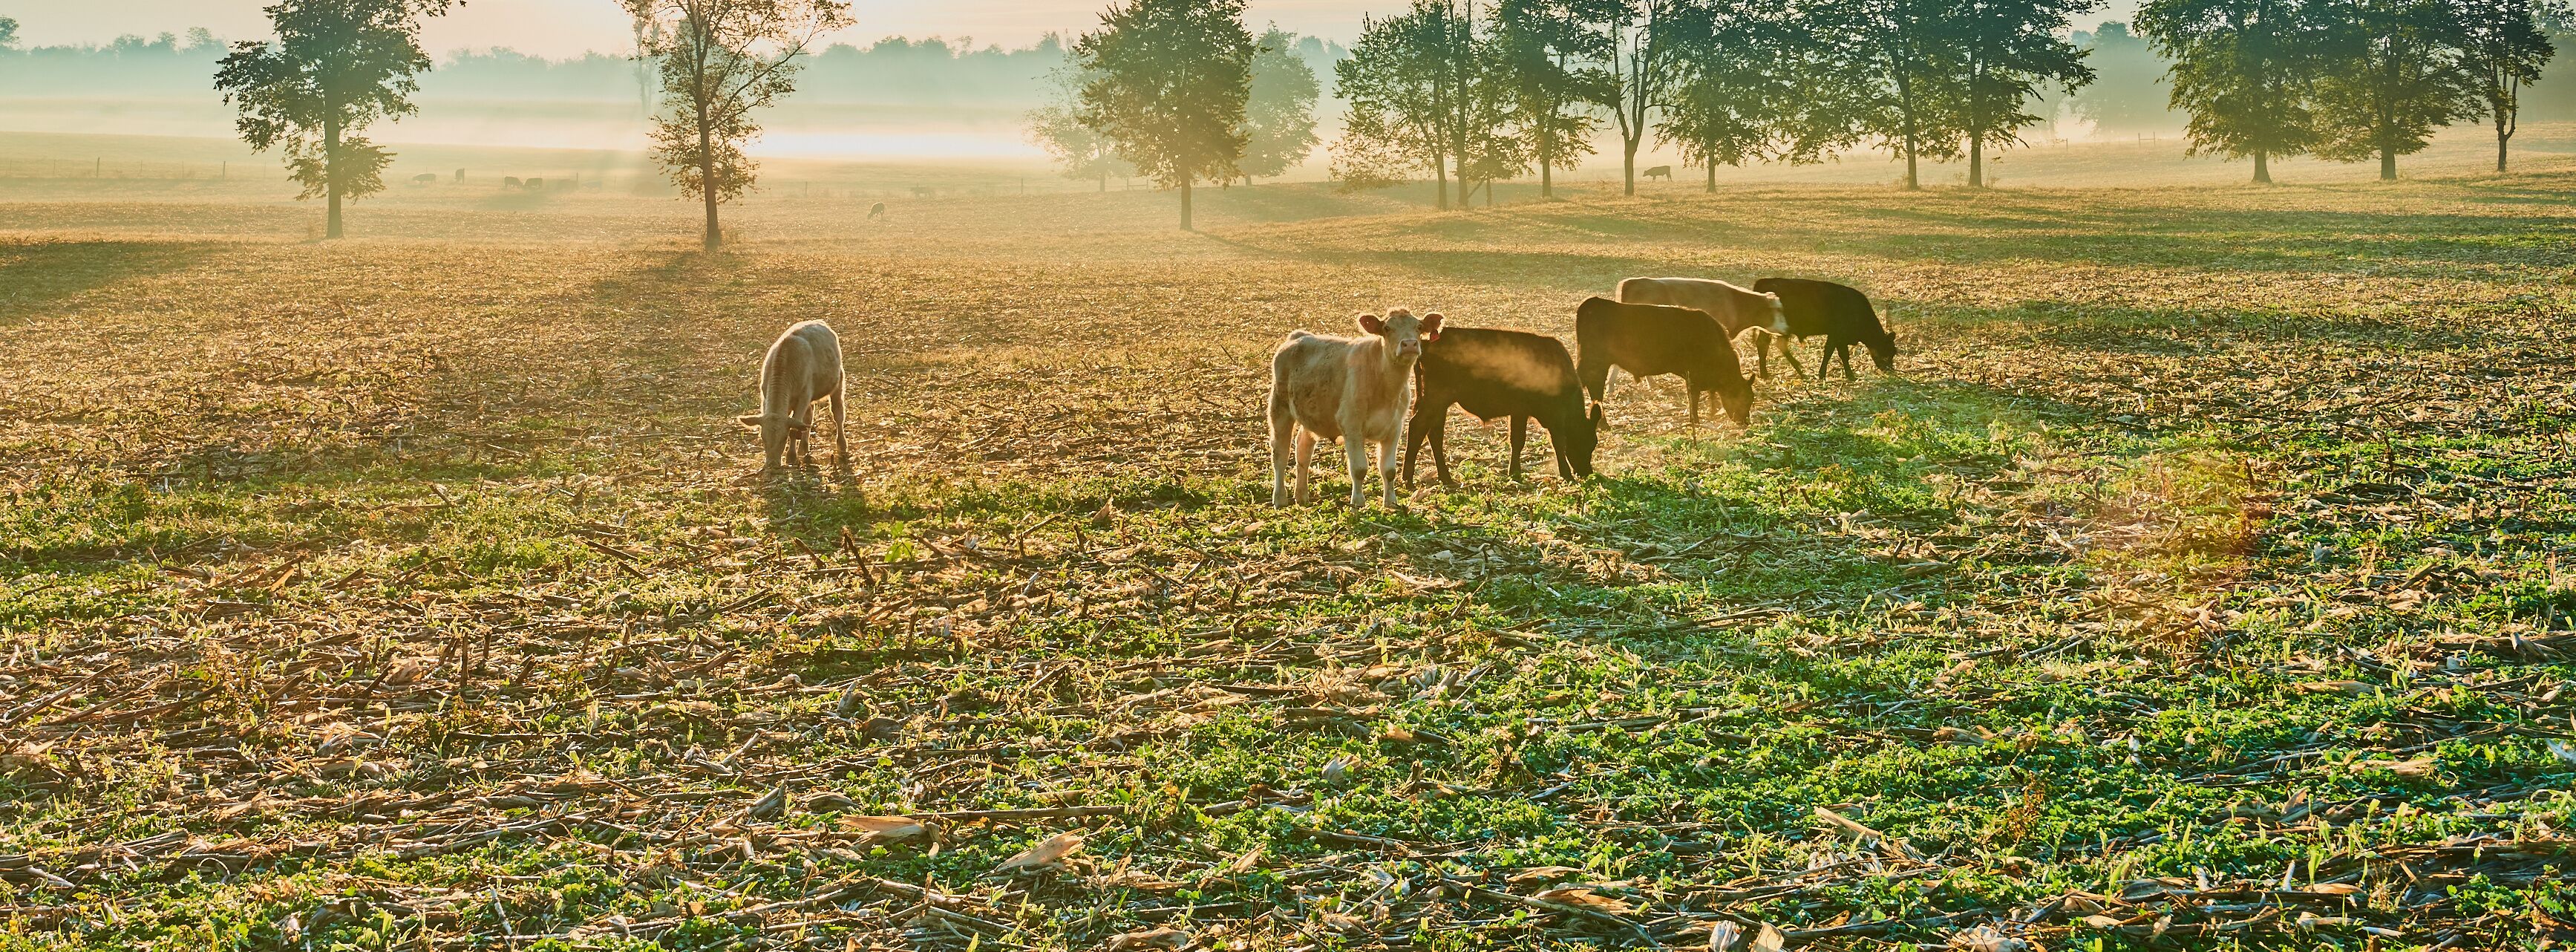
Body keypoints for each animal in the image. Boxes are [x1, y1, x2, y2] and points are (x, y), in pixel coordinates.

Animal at [736, 320, 849, 472]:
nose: (772, 463)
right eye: (763, 437)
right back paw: (804, 448)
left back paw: (842, 445)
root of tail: (819, 322)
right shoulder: (766, 396)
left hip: (838, 381)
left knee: (838, 414)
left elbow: (794, 429)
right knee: (808, 418)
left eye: (784, 438)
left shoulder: (804, 396)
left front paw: (791, 457)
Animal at [1268, 309, 1443, 509]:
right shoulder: (1351, 425)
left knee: (1303, 449)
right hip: (1279, 409)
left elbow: (1389, 470)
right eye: (1387, 328)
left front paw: (1391, 502)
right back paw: (1280, 498)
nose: (1409, 344)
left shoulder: (1395, 427)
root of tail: (1298, 336)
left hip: (1313, 415)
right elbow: (1359, 469)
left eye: (1419, 327)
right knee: (1280, 454)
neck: (1385, 386)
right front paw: (1358, 503)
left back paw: (1302, 496)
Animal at [1404, 326, 1597, 487]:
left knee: (1434, 434)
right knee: (1417, 426)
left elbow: (1517, 440)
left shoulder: (1520, 411)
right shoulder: (1554, 415)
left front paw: (1515, 473)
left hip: (1437, 403)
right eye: (1589, 441)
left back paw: (1446, 478)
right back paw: (1408, 480)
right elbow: (1557, 442)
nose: (1586, 472)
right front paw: (1566, 475)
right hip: (1437, 398)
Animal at [1574, 297, 1753, 428]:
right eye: (1744, 398)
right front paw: (1695, 421)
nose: (1745, 422)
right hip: (1593, 364)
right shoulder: (1693, 377)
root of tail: (1593, 303)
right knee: (1593, 389)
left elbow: (1710, 396)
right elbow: (1694, 399)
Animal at [1751, 278, 1899, 380]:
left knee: (1768, 345)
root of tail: (1763, 282)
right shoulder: (1837, 334)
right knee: (1772, 345)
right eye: (1888, 351)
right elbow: (1836, 353)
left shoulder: (1838, 336)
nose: (1890, 369)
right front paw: (1846, 375)